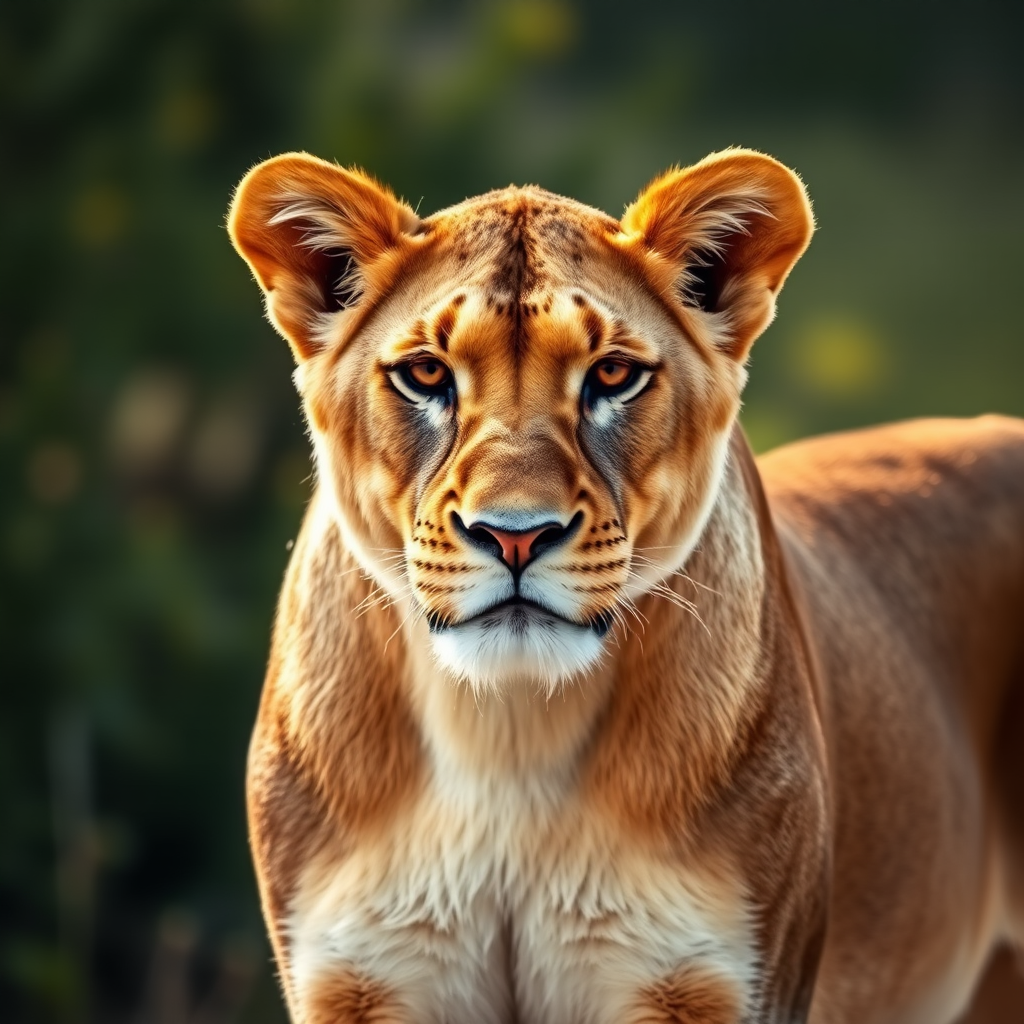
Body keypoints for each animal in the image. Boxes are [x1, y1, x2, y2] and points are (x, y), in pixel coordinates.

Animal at [227, 148, 1024, 1023]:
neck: (507, 739)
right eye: (426, 373)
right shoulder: (358, 980)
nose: (514, 534)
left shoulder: (710, 982)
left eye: (612, 374)